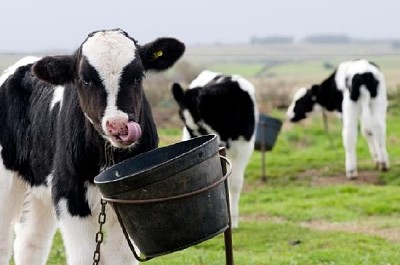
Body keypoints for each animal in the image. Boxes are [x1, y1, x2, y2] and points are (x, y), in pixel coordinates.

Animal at [0, 28, 184, 264]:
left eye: (138, 76)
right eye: (85, 80)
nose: (119, 125)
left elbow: (121, 257)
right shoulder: (69, 194)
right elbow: (85, 255)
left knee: (30, 241)